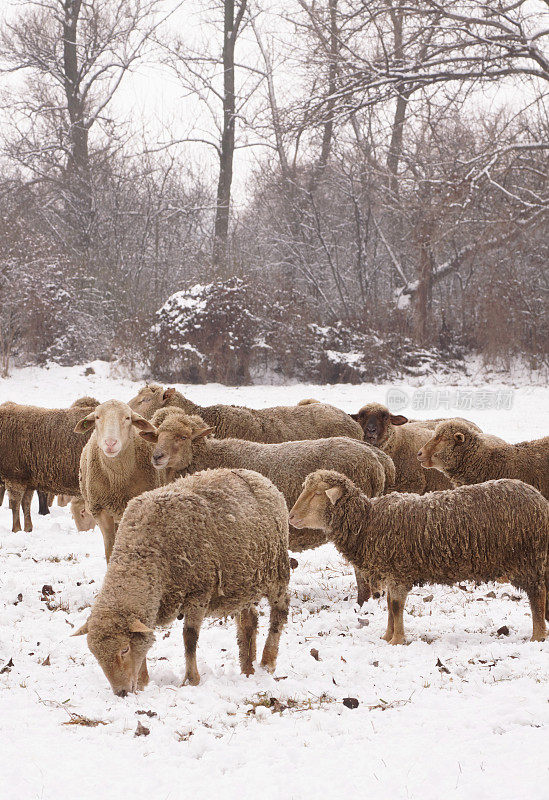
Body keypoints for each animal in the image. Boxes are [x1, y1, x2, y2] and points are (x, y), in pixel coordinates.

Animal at [73, 468, 292, 692]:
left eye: (124, 649)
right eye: (96, 655)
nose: (122, 693)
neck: (145, 551)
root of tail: (257, 476)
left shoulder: (199, 593)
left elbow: (189, 638)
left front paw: (191, 679)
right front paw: (143, 683)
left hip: (277, 571)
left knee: (280, 613)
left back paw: (268, 661)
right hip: (244, 581)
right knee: (249, 622)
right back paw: (248, 669)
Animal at [77, 400, 162, 564]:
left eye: (128, 418)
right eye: (97, 417)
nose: (110, 443)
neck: (118, 480)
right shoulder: (100, 511)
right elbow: (110, 547)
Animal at [141, 410, 394, 604]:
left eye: (183, 436)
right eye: (157, 436)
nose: (157, 457)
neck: (208, 457)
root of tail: (380, 460)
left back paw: (363, 602)